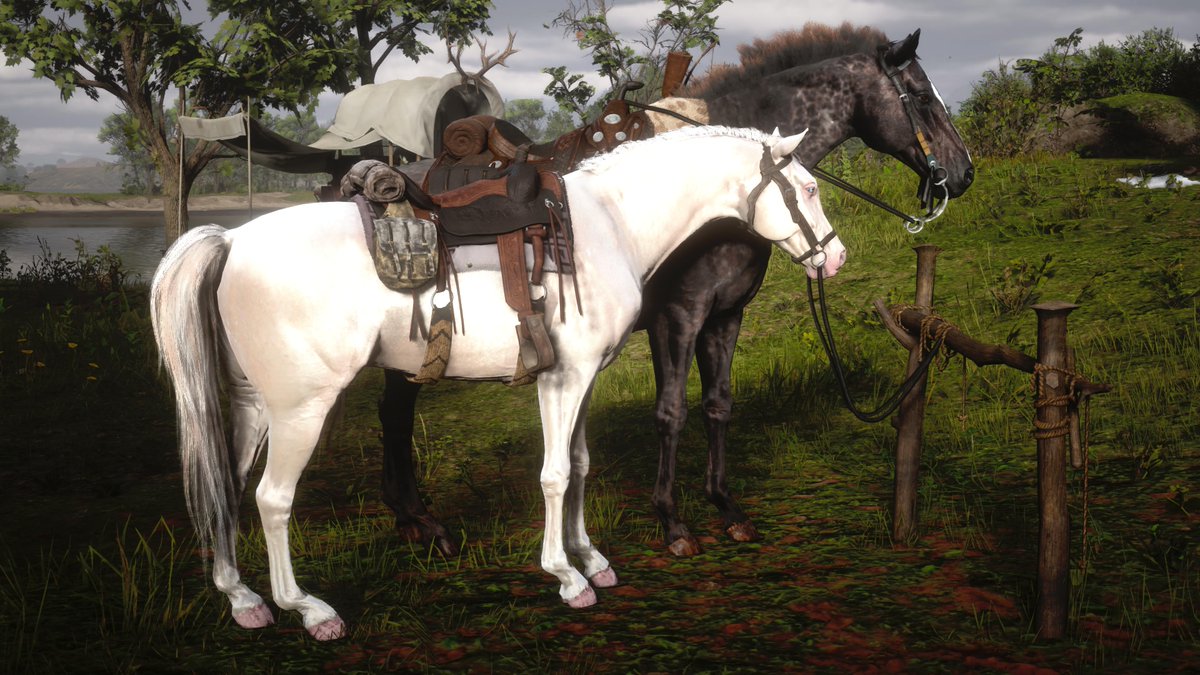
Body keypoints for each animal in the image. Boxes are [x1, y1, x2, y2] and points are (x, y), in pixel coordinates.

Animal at [150, 127, 846, 640]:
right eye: (810, 188)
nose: (835, 256)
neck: (609, 224)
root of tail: (231, 240)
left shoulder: (580, 378)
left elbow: (580, 465)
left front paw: (591, 558)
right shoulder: (563, 379)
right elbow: (555, 475)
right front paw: (566, 576)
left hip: (253, 405)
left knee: (227, 483)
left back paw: (242, 598)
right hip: (301, 409)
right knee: (272, 499)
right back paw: (309, 609)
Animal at [379, 24, 975, 557]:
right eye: (922, 97)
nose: (964, 173)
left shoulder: (725, 315)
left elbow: (717, 405)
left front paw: (726, 508)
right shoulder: (679, 317)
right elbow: (671, 412)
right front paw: (672, 522)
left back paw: (411, 520)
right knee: (396, 412)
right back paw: (423, 521)